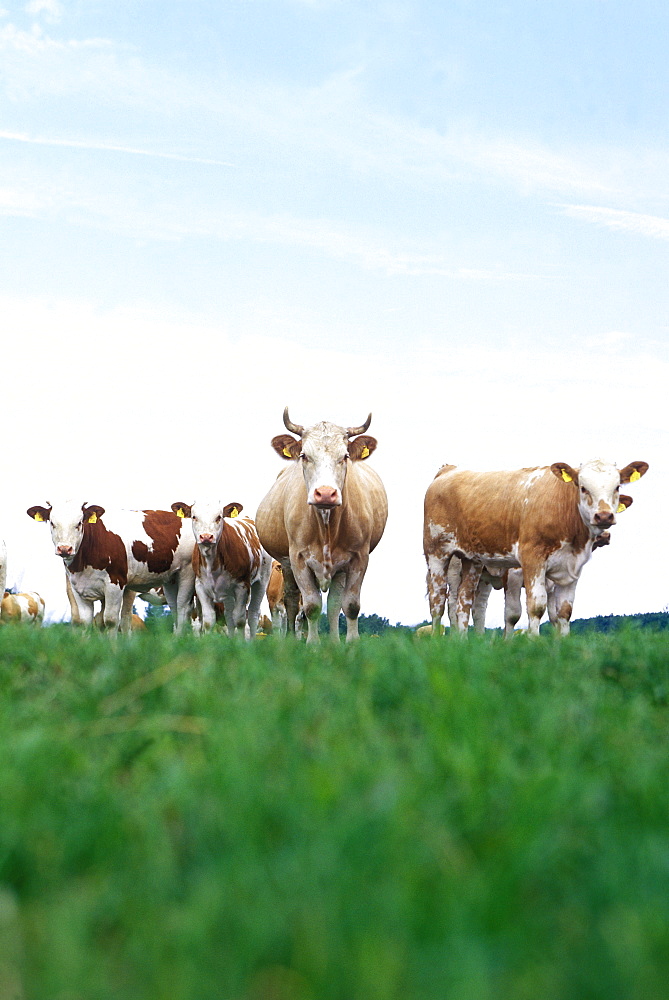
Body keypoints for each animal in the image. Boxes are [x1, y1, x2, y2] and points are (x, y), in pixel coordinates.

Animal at [28, 500, 196, 632]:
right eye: (52, 523)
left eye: (79, 523)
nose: (64, 549)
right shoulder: (77, 588)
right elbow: (84, 622)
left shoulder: (115, 584)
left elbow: (110, 621)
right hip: (170, 580)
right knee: (175, 609)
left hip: (186, 574)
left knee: (183, 609)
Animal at [171, 500, 272, 640]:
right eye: (194, 517)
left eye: (219, 517)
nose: (206, 537)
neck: (212, 562)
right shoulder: (200, 587)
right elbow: (209, 620)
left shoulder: (242, 586)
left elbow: (240, 619)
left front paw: (241, 643)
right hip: (228, 592)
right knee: (229, 615)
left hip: (262, 580)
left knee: (253, 614)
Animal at [253, 410, 386, 644]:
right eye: (304, 455)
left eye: (345, 456)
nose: (325, 493)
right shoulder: (298, 559)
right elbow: (311, 606)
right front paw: (312, 644)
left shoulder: (359, 558)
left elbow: (350, 605)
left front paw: (350, 643)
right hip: (286, 566)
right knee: (292, 600)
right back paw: (291, 638)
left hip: (340, 569)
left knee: (333, 604)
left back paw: (333, 641)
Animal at [422, 458, 648, 636]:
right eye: (583, 487)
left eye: (617, 487)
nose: (604, 516)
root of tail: (449, 469)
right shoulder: (528, 563)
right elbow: (528, 609)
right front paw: (531, 643)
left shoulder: (571, 568)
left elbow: (562, 612)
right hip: (439, 556)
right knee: (440, 601)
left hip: (473, 562)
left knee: (467, 604)